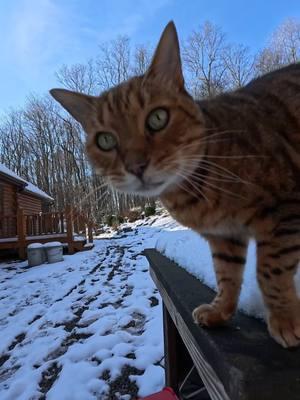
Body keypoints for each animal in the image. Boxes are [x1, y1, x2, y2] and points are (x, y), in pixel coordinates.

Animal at [50, 21, 300, 346]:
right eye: (105, 140)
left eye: (158, 118)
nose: (136, 166)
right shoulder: (225, 236)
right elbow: (226, 275)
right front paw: (220, 310)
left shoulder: (283, 208)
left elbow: (270, 269)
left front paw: (284, 318)